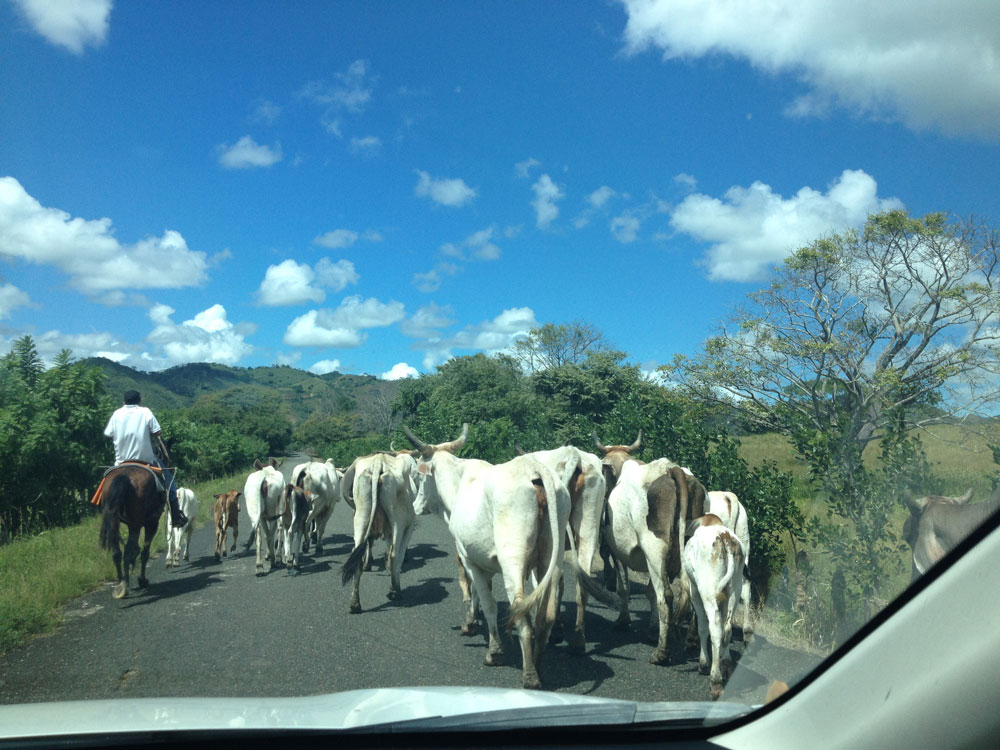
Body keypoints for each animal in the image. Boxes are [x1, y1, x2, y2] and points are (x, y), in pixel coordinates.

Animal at [97, 464, 166, 600]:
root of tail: (123, 476)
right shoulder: (152, 523)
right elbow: (145, 552)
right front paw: (142, 580)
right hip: (137, 524)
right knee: (128, 552)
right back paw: (125, 585)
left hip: (114, 520)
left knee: (117, 553)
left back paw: (121, 582)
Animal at [340, 450, 418, 612]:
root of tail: (378, 463)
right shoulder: (408, 528)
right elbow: (397, 556)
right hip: (398, 521)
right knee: (394, 554)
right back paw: (394, 591)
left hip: (361, 516)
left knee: (357, 554)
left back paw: (355, 604)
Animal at [406, 426, 580, 692]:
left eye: (419, 476)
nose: (415, 505)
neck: (459, 483)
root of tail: (534, 469)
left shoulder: (469, 558)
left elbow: (484, 601)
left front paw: (492, 650)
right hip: (551, 557)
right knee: (546, 614)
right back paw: (538, 663)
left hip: (512, 563)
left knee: (520, 612)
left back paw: (530, 675)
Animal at [680, 516, 744, 704]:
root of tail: (725, 538)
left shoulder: (695, 591)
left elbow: (702, 627)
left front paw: (703, 663)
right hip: (734, 591)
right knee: (727, 629)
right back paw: (726, 665)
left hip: (707, 592)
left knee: (715, 628)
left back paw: (715, 681)